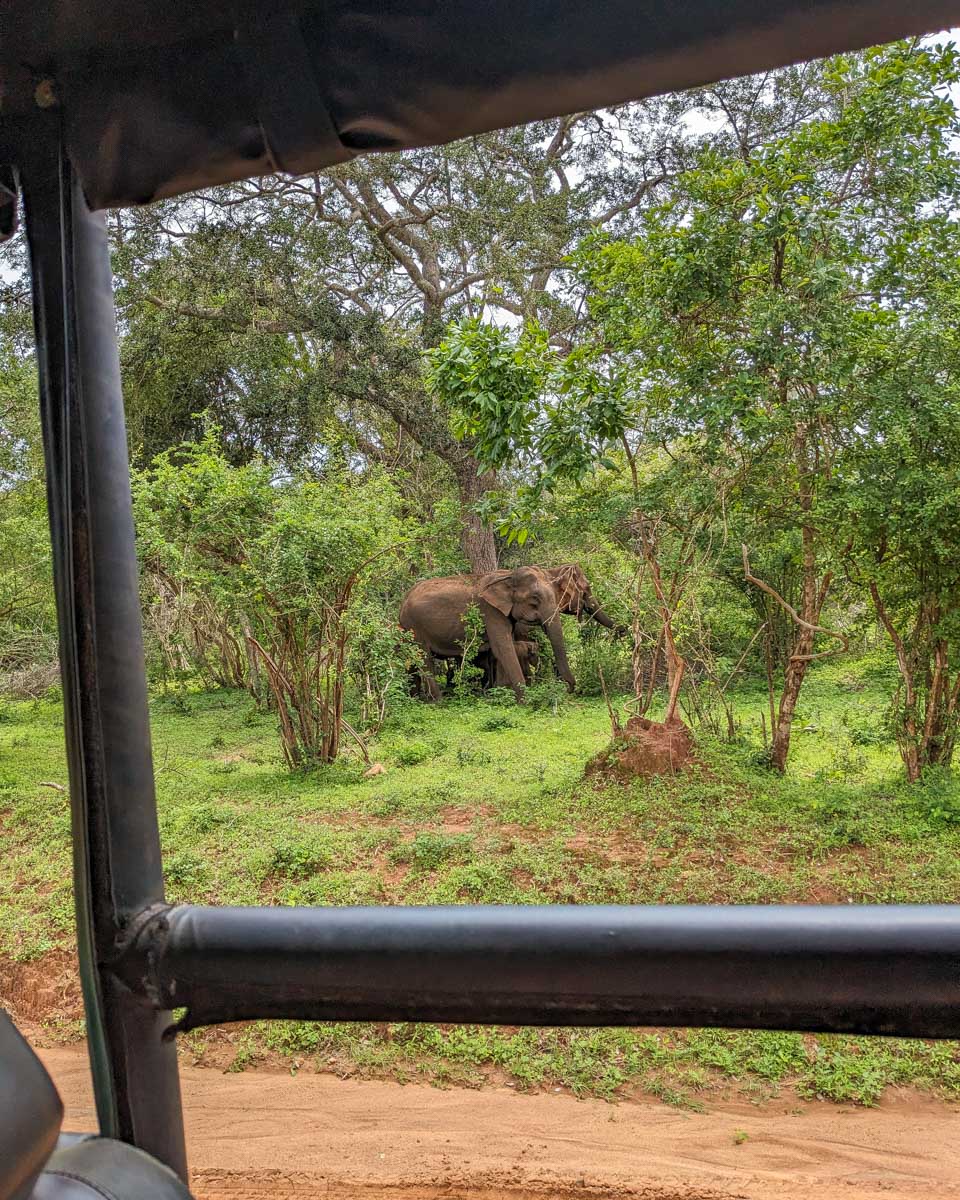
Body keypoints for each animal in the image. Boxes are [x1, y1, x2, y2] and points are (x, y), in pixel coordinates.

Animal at [399, 566, 575, 702]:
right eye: (534, 599)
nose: (568, 688)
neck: (508, 576)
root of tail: (403, 602)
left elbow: (502, 650)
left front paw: (500, 693)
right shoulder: (491, 612)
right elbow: (503, 648)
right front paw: (525, 701)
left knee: (411, 659)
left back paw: (414, 698)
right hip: (414, 626)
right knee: (424, 658)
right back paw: (437, 701)